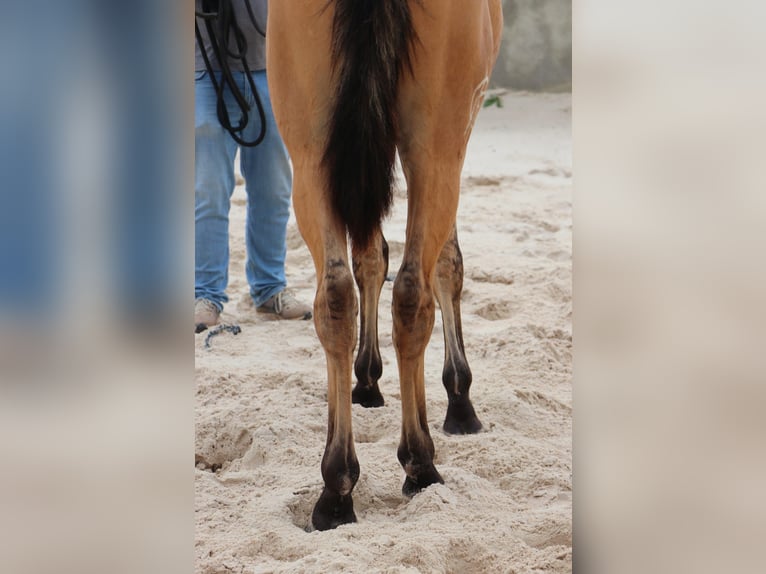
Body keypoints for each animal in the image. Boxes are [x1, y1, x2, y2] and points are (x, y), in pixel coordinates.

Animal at [268, 0, 504, 532]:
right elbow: (448, 266)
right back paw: (421, 463)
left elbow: (370, 258)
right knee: (415, 292)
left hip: (309, 153)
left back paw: (336, 486)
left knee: (335, 294)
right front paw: (459, 398)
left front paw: (366, 378)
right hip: (435, 150)